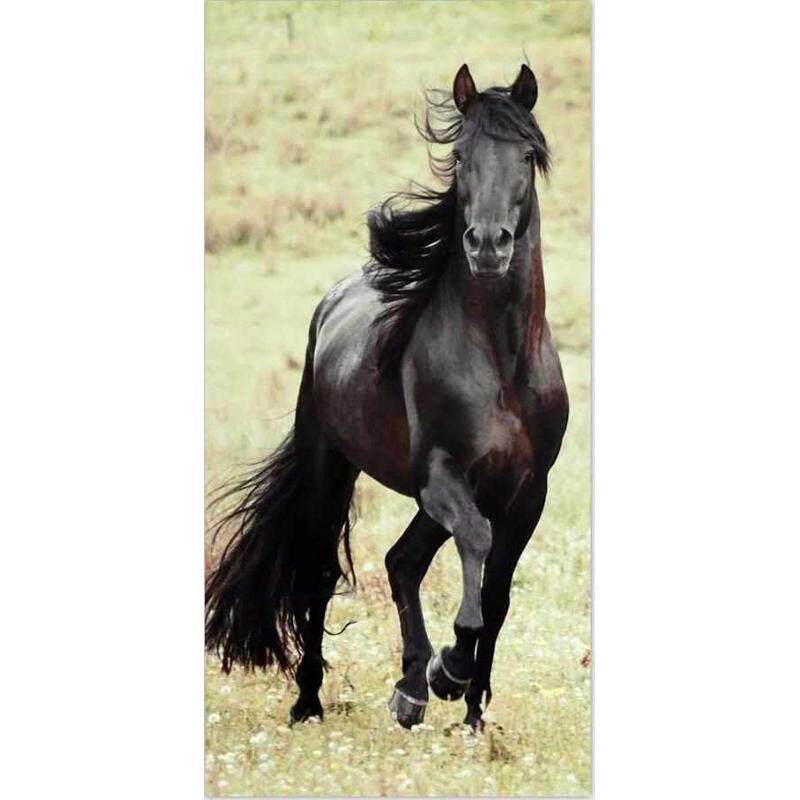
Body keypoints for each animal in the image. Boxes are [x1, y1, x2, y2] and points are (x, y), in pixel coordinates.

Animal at [205, 63, 569, 731]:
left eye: (528, 156)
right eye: (460, 154)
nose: (488, 245)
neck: (501, 362)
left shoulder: (529, 491)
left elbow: (498, 593)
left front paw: (471, 714)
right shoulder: (442, 476)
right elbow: (476, 543)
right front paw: (451, 669)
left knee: (403, 561)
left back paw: (411, 689)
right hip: (332, 465)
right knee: (321, 570)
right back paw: (312, 701)